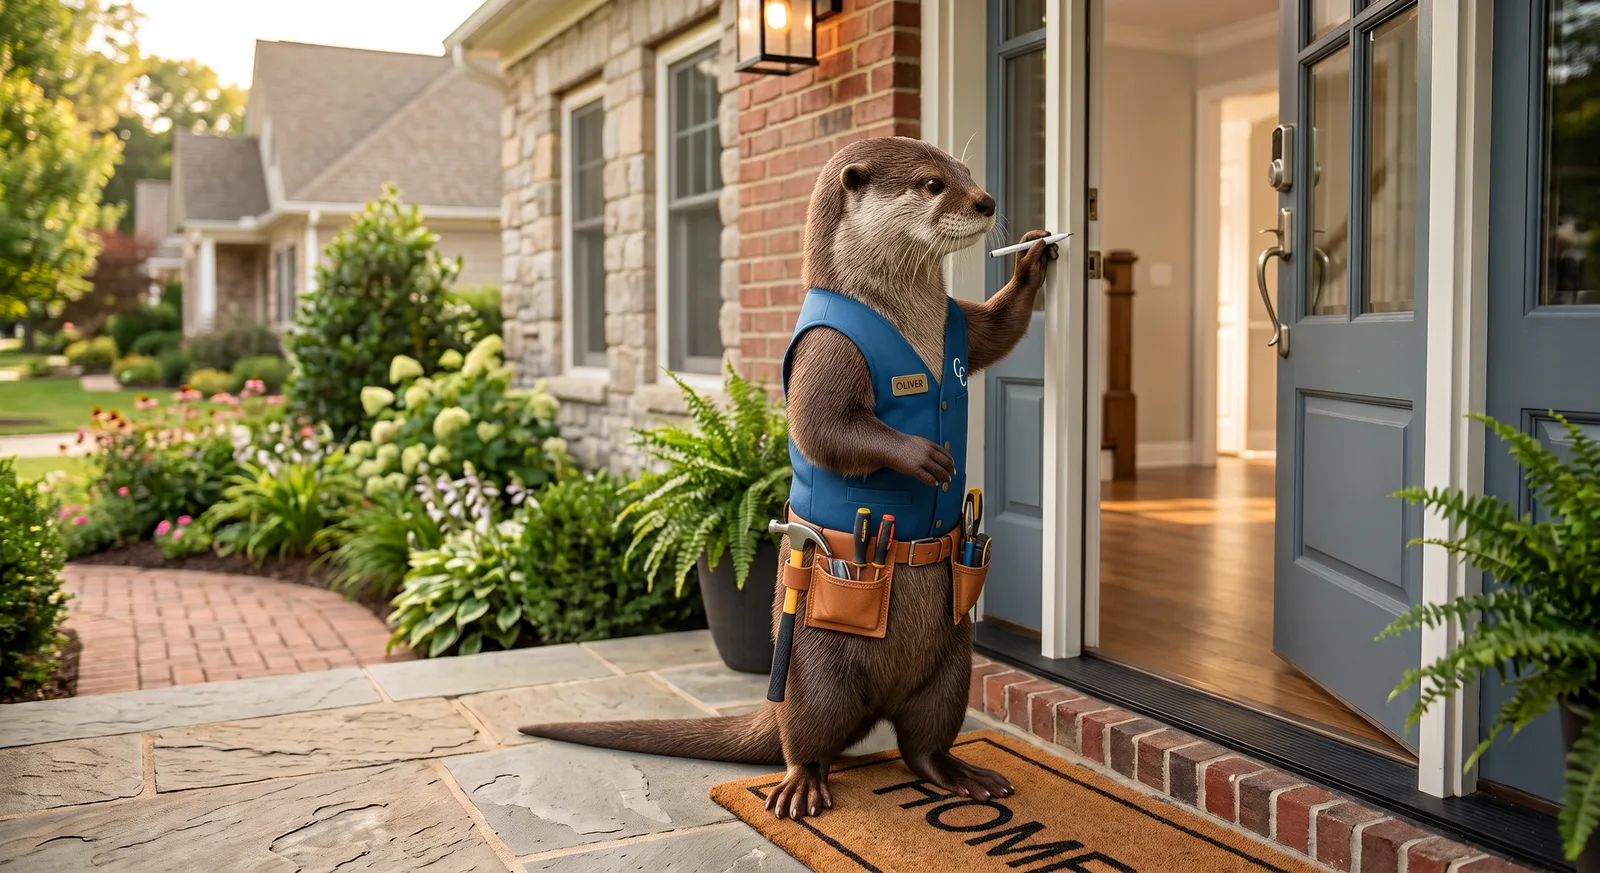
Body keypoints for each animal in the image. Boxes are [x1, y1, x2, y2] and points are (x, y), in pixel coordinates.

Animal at [520, 137, 1057, 821]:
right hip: (810, 663)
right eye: (934, 183)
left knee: (924, 741)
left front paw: (1035, 256)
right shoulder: (827, 349)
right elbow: (820, 425)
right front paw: (924, 457)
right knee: (804, 734)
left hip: (952, 663)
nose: (986, 201)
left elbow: (996, 330)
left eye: (966, 172)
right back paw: (800, 788)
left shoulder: (956, 321)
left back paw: (960, 774)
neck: (905, 314)